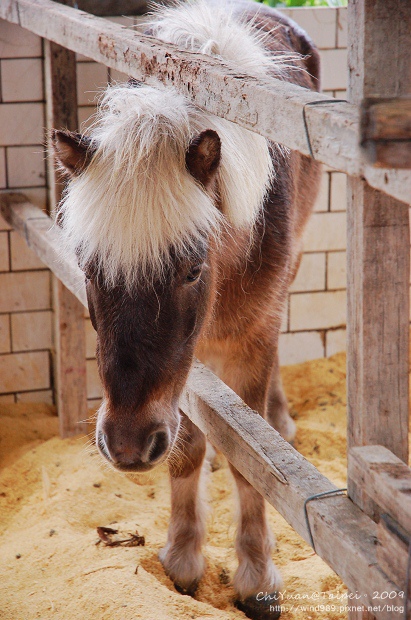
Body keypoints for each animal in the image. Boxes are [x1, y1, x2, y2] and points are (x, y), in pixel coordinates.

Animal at [51, 2, 322, 616]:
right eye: (87, 267)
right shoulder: (183, 374)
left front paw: (257, 577)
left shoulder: (250, 339)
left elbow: (252, 461)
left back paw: (279, 418)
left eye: (193, 269)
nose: (126, 446)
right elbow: (187, 449)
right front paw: (182, 558)